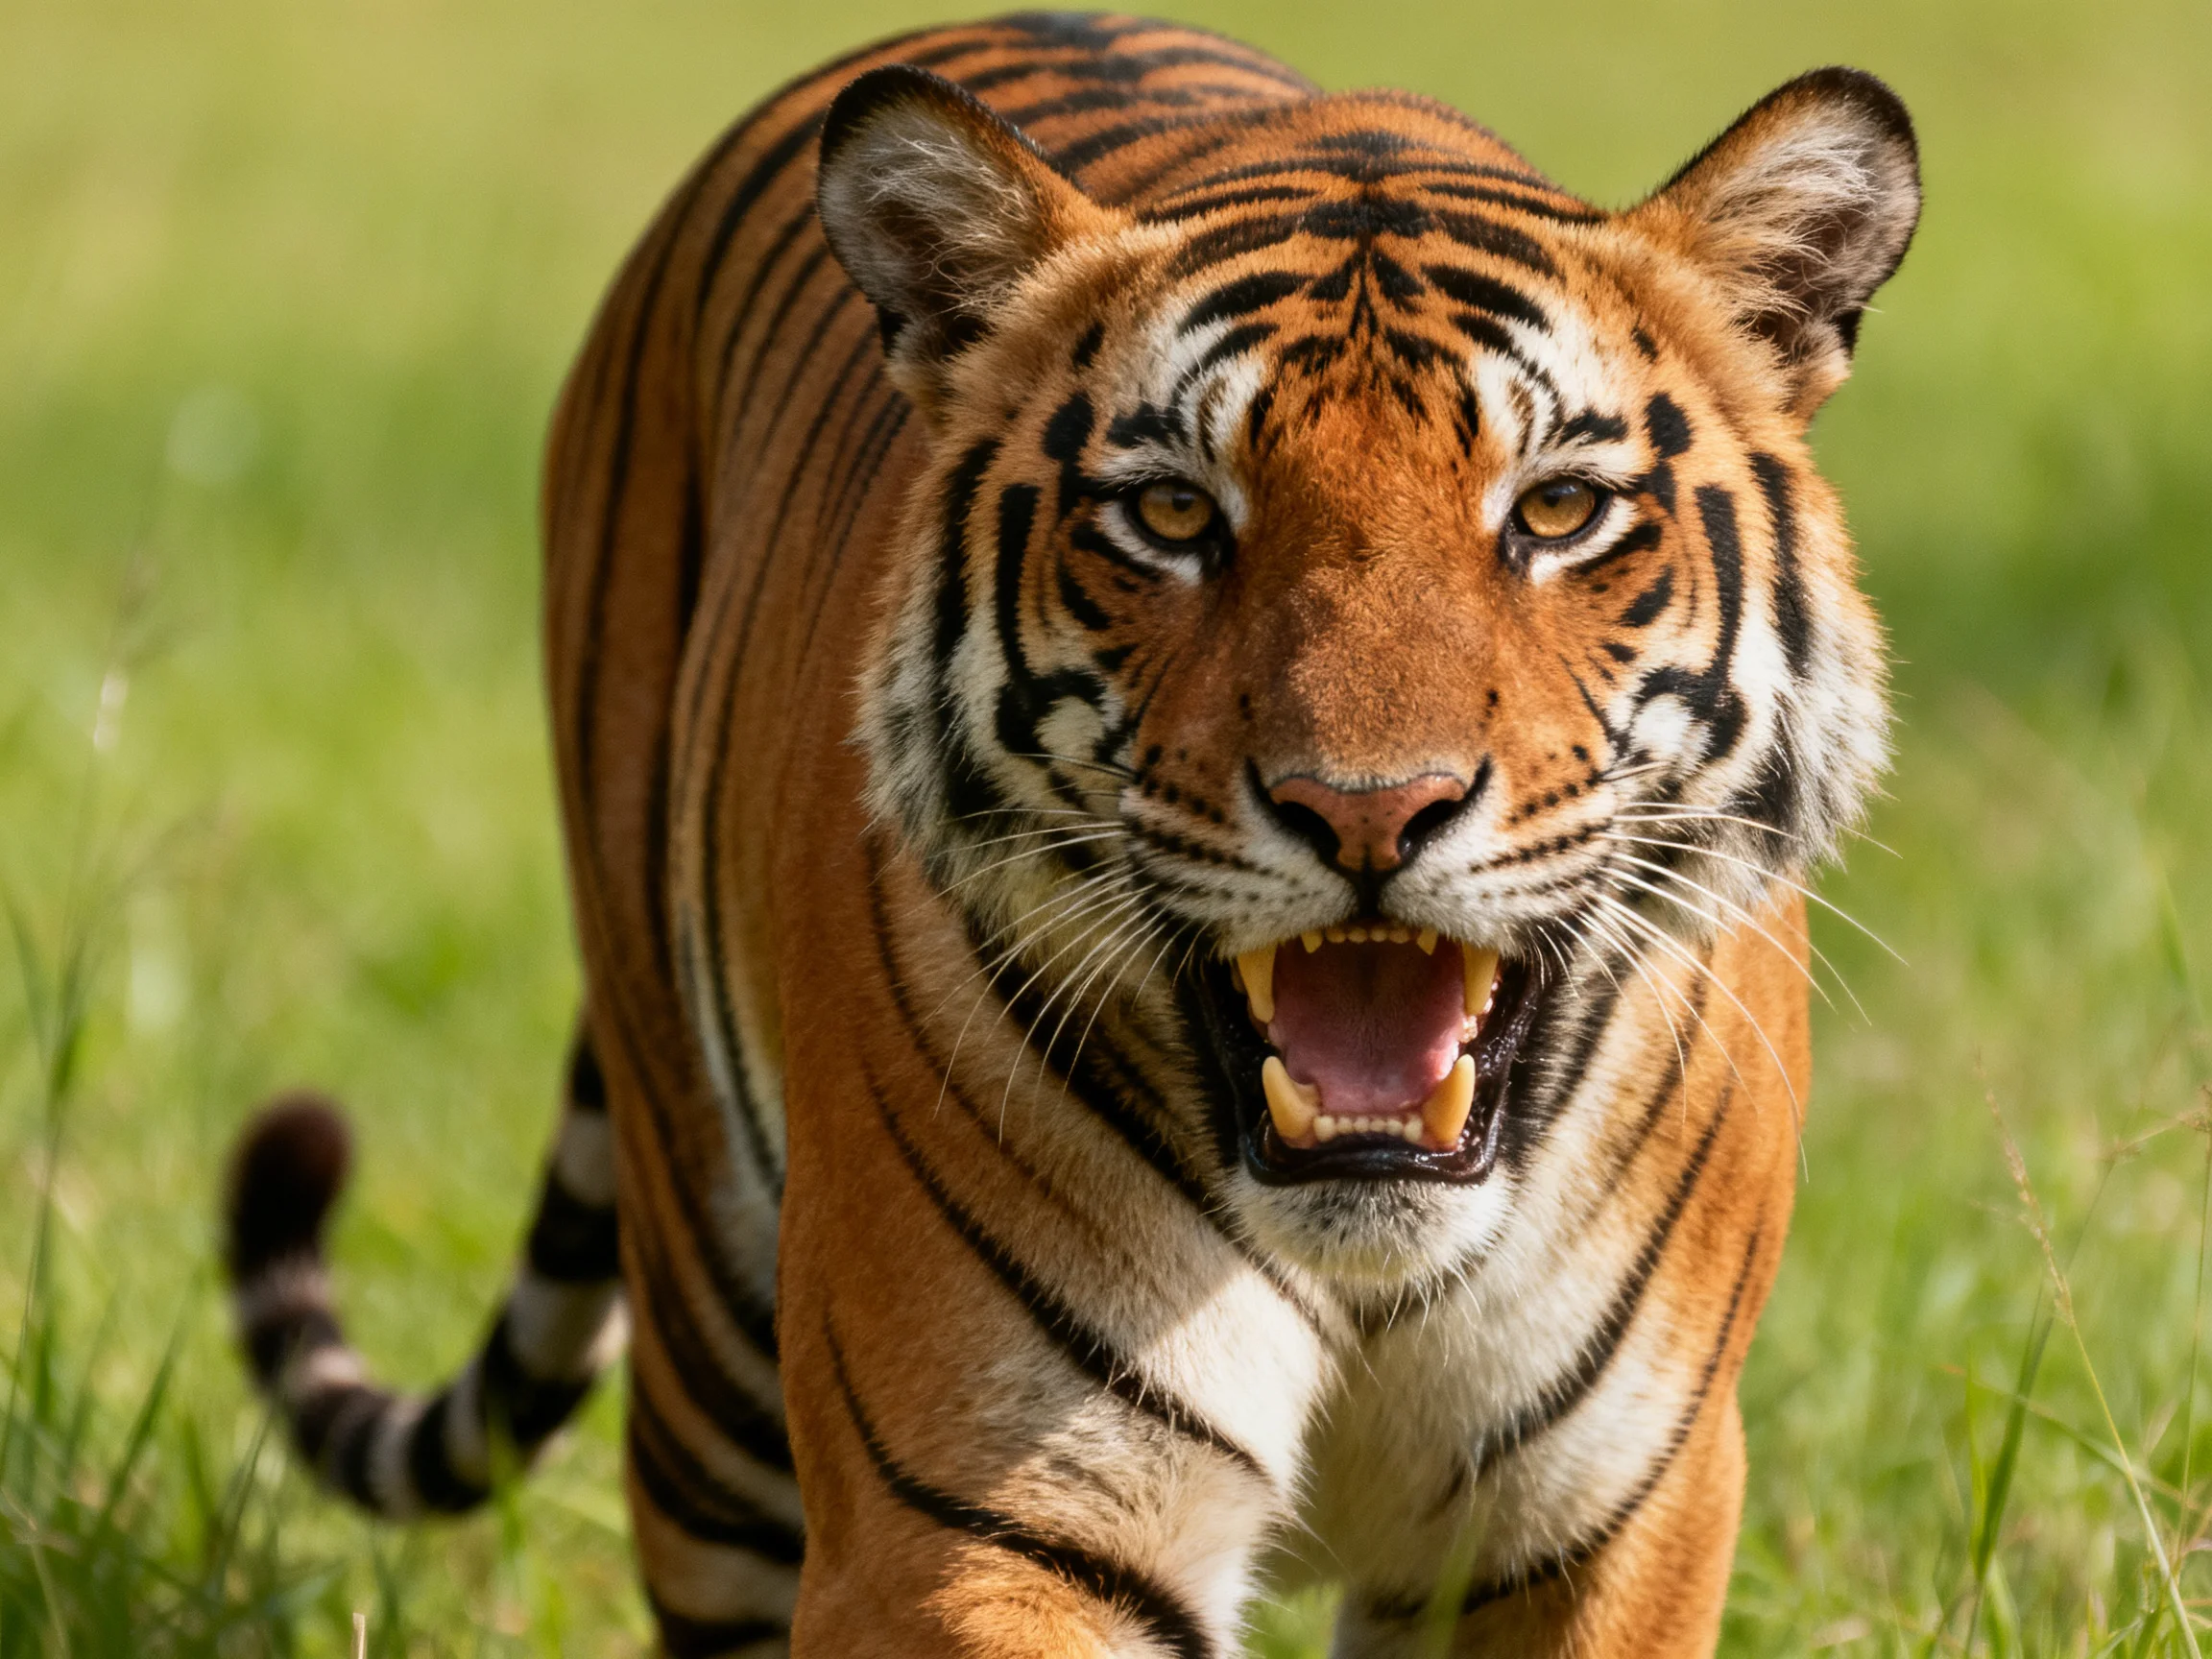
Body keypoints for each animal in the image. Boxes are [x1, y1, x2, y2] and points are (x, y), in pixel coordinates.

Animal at [220, 12, 1919, 1656]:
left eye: (1558, 511)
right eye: (1172, 516)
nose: (1368, 809)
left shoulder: (1602, 1523)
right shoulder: (978, 1516)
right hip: (705, 1342)